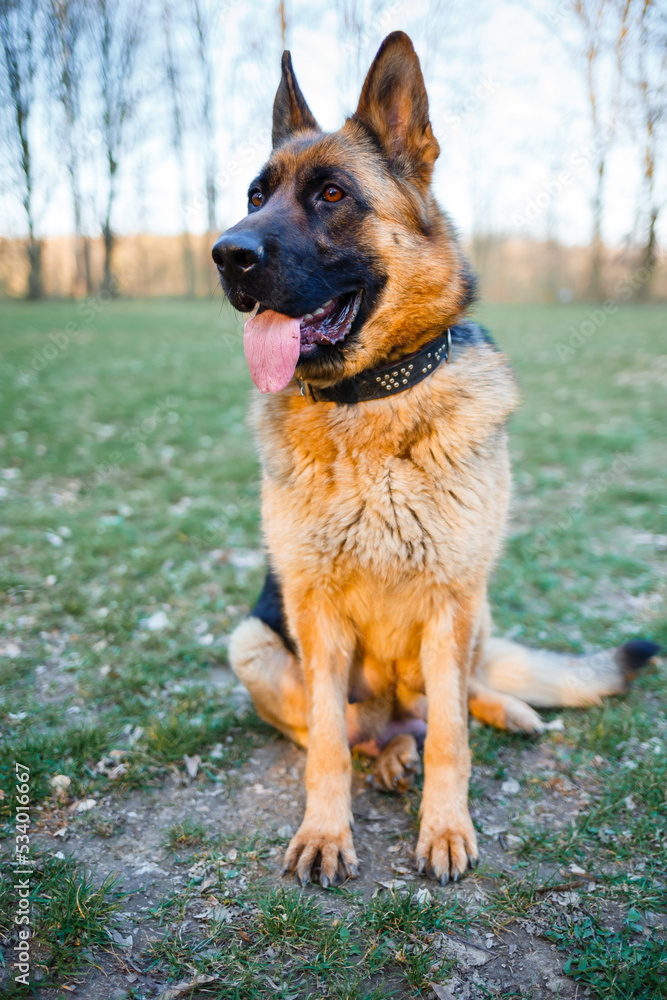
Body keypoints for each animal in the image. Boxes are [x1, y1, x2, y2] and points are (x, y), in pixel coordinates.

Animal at [213, 31, 656, 888]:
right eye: (255, 196)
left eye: (331, 194)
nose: (225, 255)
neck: (367, 406)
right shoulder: (312, 611)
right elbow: (325, 744)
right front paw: (326, 831)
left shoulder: (450, 600)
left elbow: (451, 733)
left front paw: (445, 827)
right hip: (252, 641)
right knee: (362, 732)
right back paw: (388, 758)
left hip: (474, 608)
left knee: (453, 702)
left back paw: (501, 711)